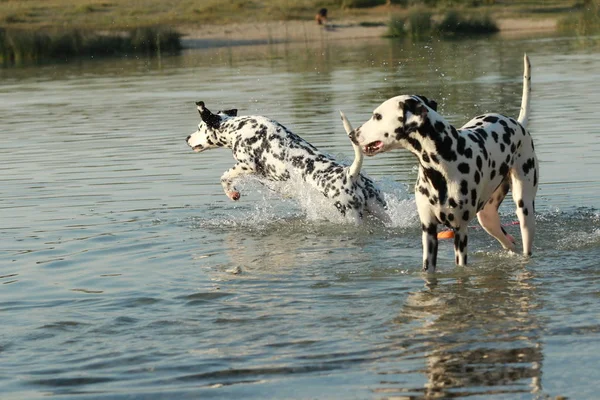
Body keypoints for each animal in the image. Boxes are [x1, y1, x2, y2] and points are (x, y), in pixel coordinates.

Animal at [185, 101, 390, 223]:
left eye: (199, 127)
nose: (187, 138)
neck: (238, 127)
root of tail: (349, 175)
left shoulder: (246, 164)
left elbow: (224, 177)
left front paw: (232, 193)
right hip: (380, 209)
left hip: (351, 216)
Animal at [342, 54, 540, 272]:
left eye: (377, 116)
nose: (352, 135)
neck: (440, 166)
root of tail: (518, 123)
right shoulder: (429, 231)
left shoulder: (460, 231)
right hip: (488, 218)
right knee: (509, 243)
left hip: (524, 211)